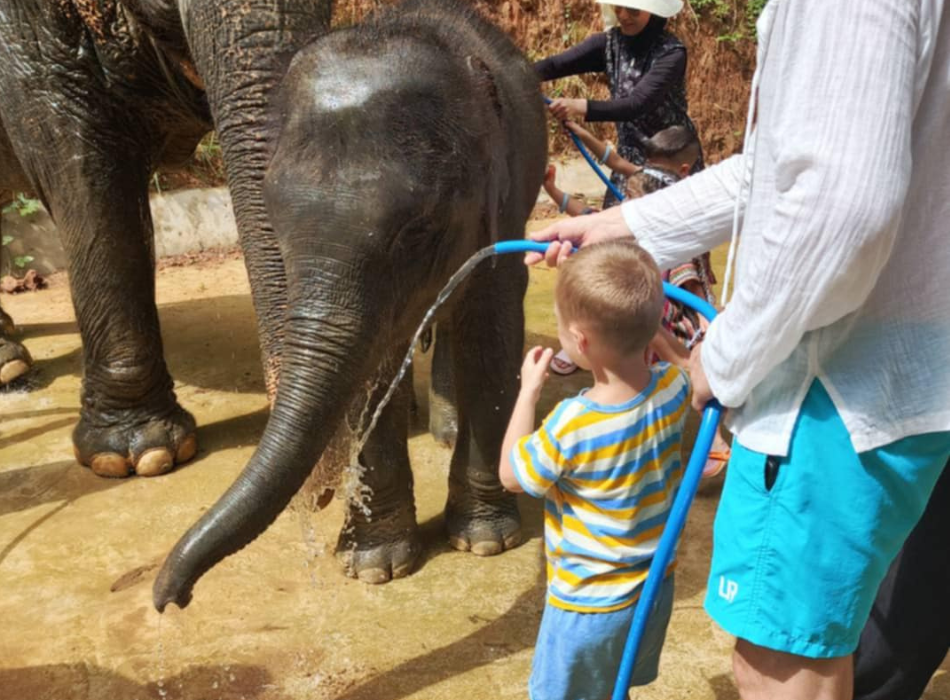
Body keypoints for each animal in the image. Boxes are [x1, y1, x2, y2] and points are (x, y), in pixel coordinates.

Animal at [153, 0, 547, 609]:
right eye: (277, 230)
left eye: (415, 230)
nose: (171, 599)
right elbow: (372, 362)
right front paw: (374, 566)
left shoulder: (500, 207)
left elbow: (492, 324)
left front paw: (485, 543)